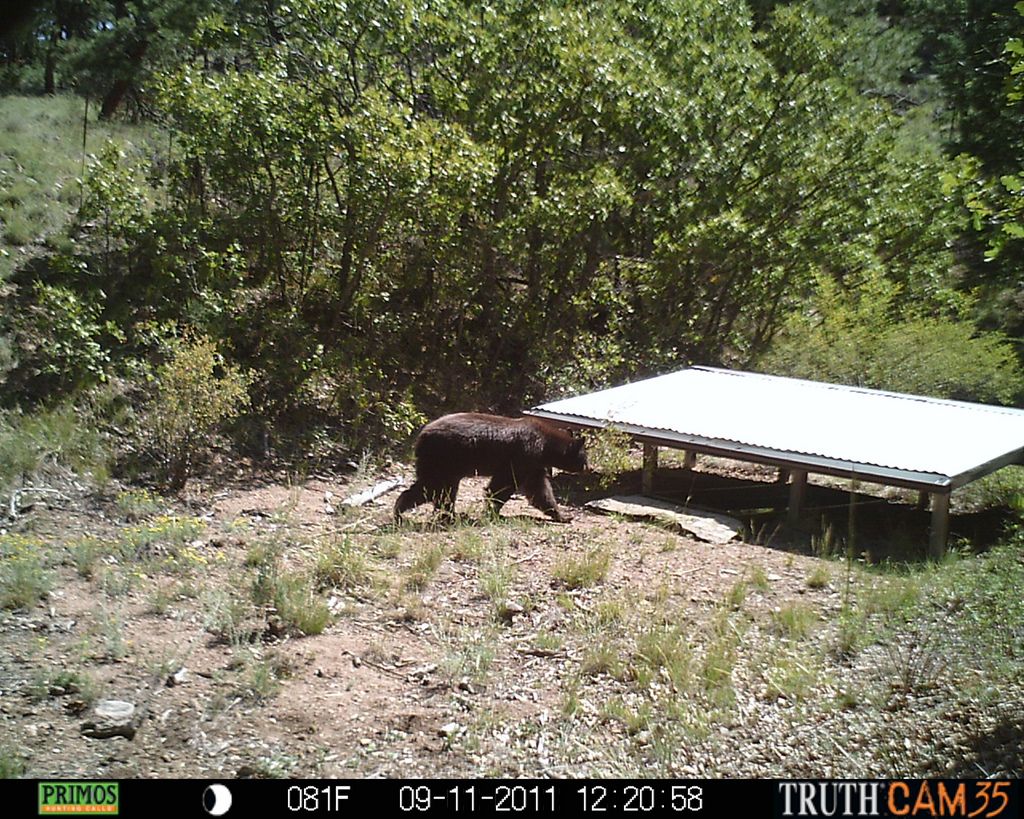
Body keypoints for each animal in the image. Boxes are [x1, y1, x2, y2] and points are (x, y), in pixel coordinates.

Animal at [389, 413, 585, 522]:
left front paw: (562, 516)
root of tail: (420, 436)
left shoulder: (533, 466)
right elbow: (504, 485)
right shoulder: (524, 456)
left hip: (443, 465)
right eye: (584, 457)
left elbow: (539, 491)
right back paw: (402, 510)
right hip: (443, 459)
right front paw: (494, 510)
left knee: (440, 491)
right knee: (434, 489)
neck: (546, 445)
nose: (587, 467)